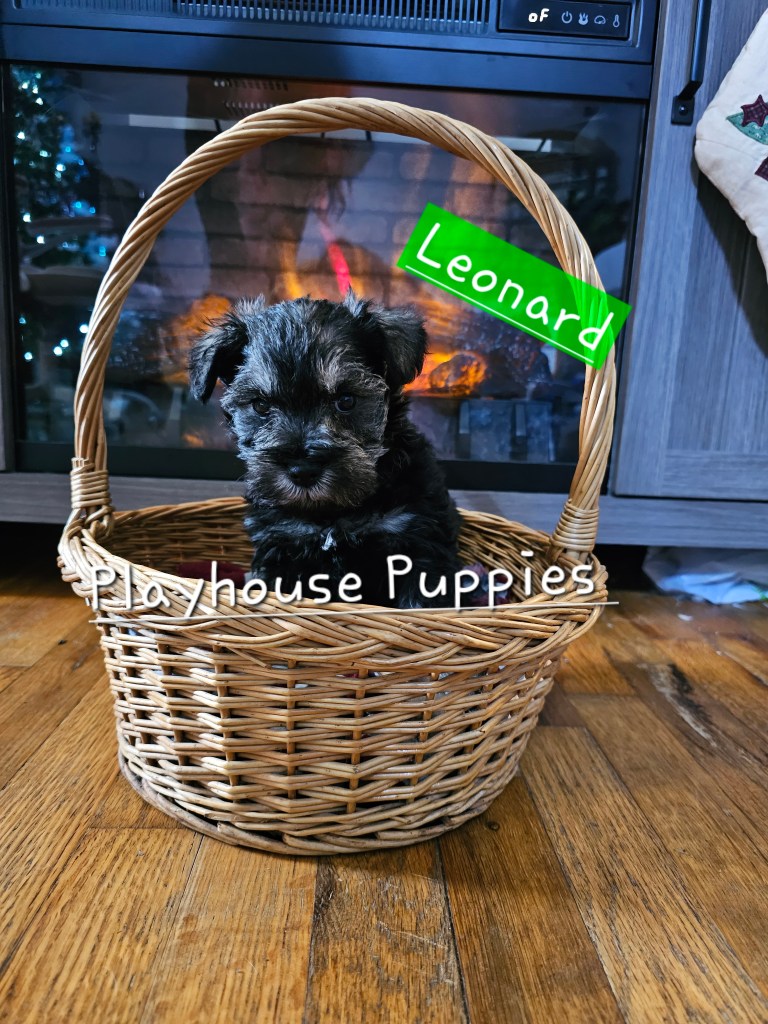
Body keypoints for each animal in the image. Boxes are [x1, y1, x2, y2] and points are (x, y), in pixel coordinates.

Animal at [188, 291, 463, 608]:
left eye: (346, 400)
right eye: (260, 405)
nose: (303, 470)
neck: (331, 513)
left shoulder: (421, 549)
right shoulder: (281, 548)